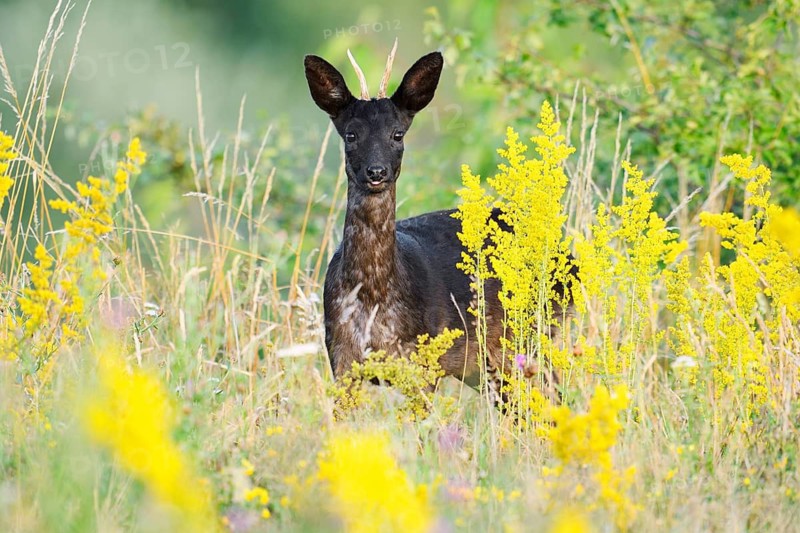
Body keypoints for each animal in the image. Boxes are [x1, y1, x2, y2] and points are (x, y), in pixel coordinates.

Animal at [304, 42, 571, 407]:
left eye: (397, 134)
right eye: (351, 135)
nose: (376, 172)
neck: (373, 298)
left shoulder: (424, 362)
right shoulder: (341, 359)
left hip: (529, 335)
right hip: (486, 366)